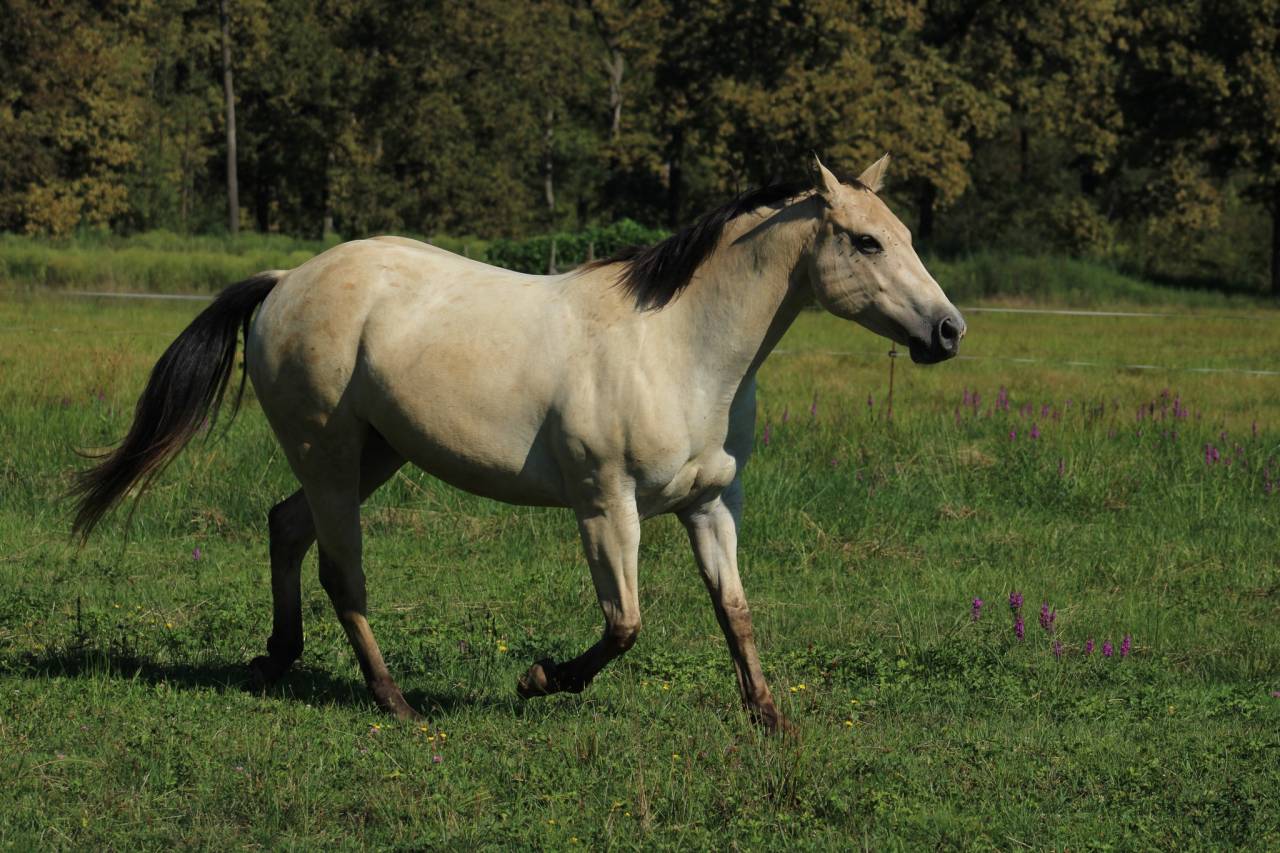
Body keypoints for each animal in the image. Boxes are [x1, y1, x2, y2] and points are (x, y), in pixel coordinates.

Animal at [72, 154, 964, 733]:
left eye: (905, 234)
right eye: (867, 242)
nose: (948, 331)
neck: (679, 349)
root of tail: (284, 282)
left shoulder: (711, 505)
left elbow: (735, 612)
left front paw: (770, 718)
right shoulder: (606, 508)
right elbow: (624, 624)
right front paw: (539, 679)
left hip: (374, 452)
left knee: (285, 527)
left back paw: (275, 659)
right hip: (328, 453)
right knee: (340, 570)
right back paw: (393, 700)